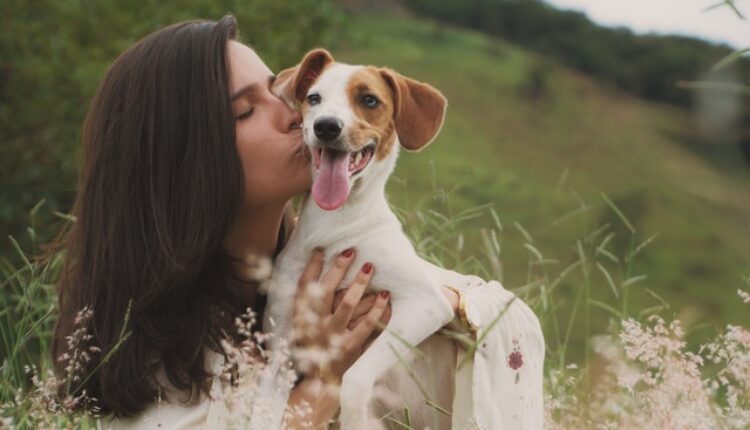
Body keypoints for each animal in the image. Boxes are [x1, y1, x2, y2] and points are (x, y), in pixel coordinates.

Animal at [268, 48, 462, 428]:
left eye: (369, 100)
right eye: (314, 98)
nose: (326, 126)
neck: (334, 225)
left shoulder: (425, 303)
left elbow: (354, 377)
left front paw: (354, 416)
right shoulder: (280, 335)